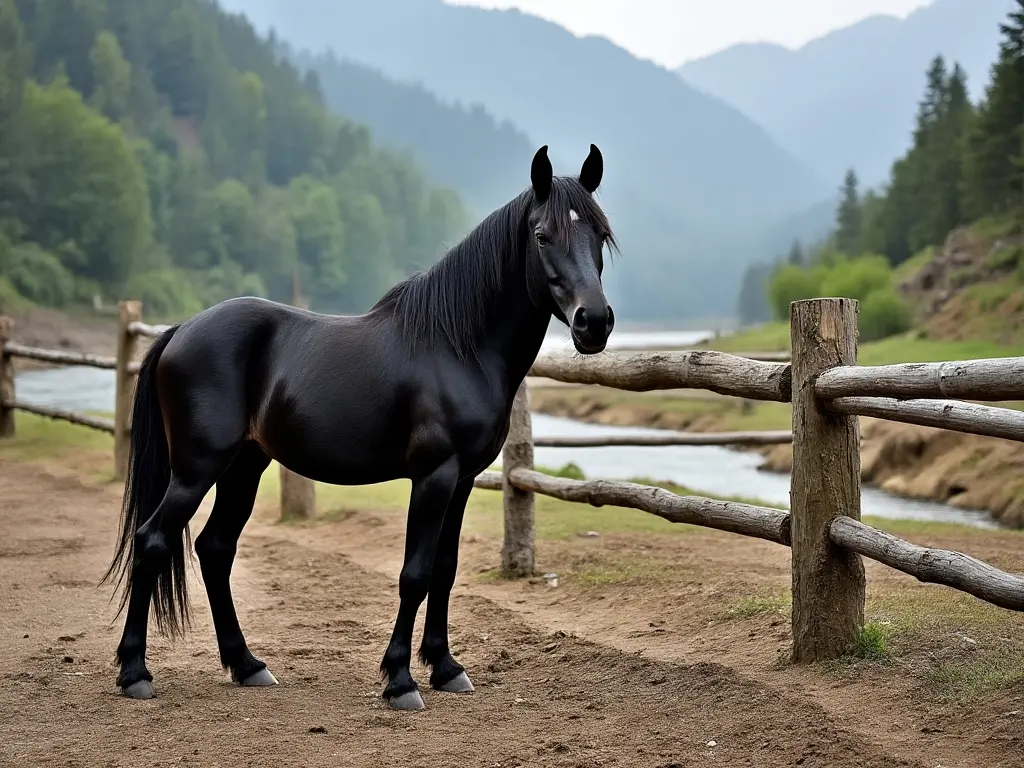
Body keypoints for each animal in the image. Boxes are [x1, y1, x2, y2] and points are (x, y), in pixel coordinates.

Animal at [103, 143, 614, 708]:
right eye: (543, 236)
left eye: (600, 235)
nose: (594, 322)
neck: (459, 346)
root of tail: (181, 331)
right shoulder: (434, 475)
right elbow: (415, 574)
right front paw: (400, 680)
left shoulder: (462, 480)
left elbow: (445, 568)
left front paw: (446, 669)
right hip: (196, 469)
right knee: (153, 541)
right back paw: (135, 674)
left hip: (244, 466)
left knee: (215, 549)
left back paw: (248, 665)